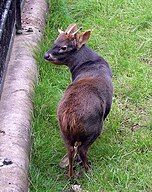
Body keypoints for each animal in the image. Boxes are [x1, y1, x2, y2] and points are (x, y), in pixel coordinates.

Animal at [44, 24, 113, 178]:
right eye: (55, 42)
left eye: (63, 46)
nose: (46, 55)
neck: (90, 64)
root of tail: (69, 118)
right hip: (93, 128)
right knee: (81, 149)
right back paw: (88, 170)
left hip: (63, 131)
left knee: (70, 149)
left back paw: (71, 175)